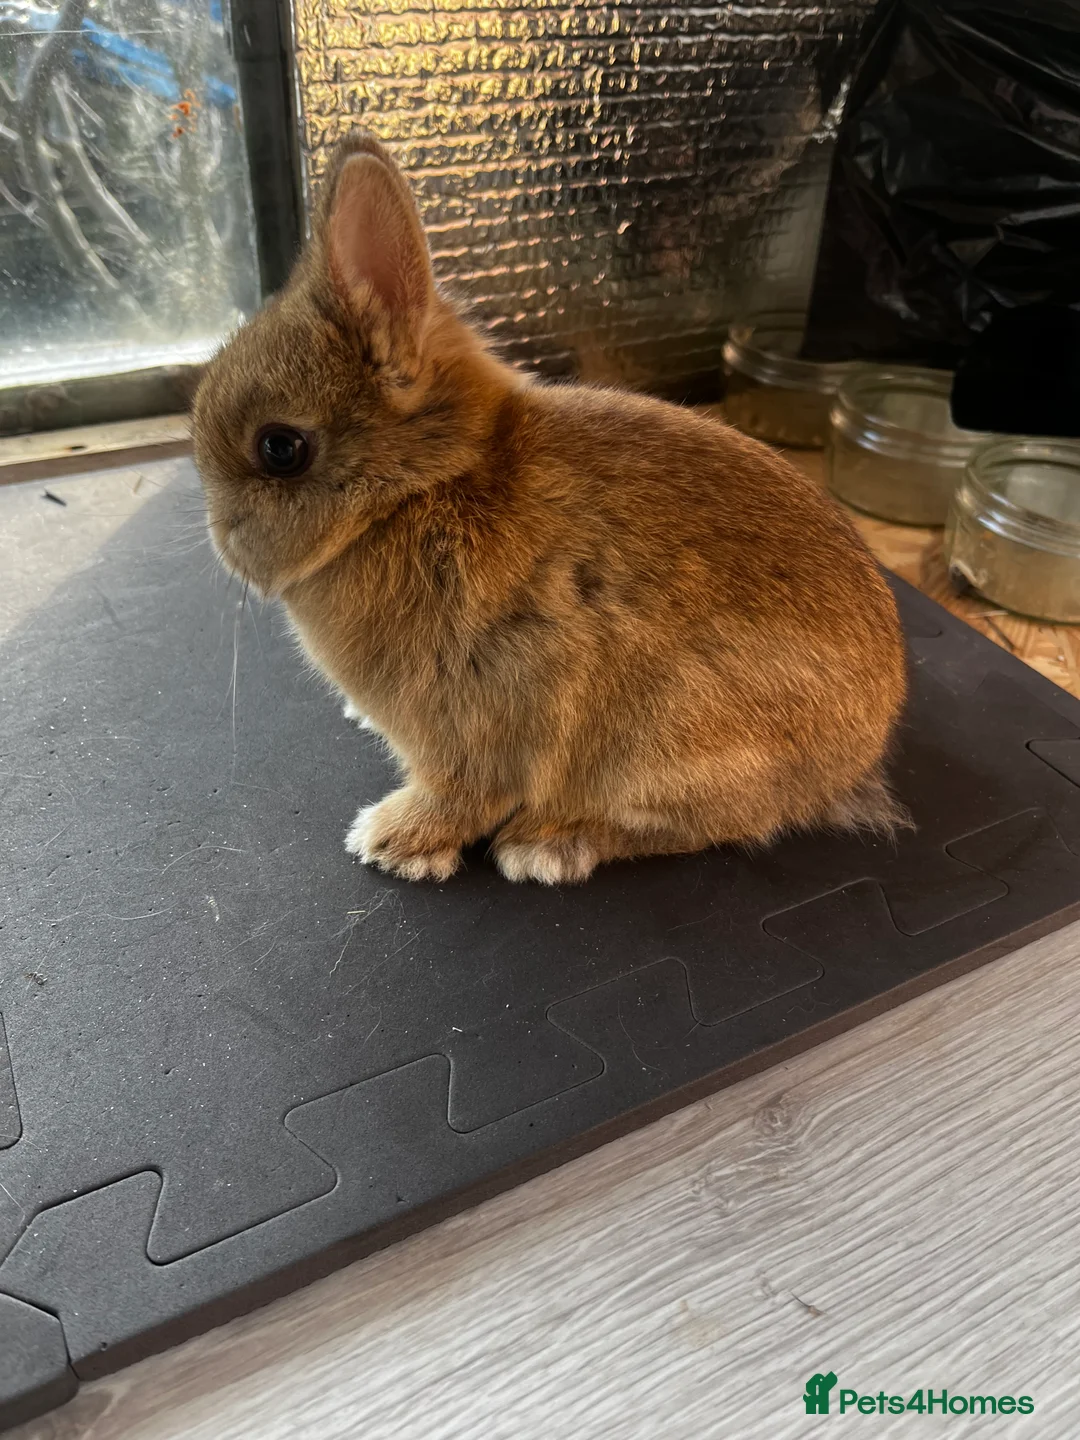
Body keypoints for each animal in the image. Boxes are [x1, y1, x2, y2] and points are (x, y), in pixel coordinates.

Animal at [192, 132, 908, 886]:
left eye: (280, 448)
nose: (224, 541)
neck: (418, 491)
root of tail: (858, 752)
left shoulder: (477, 720)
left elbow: (464, 794)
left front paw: (391, 841)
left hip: (669, 742)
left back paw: (548, 846)